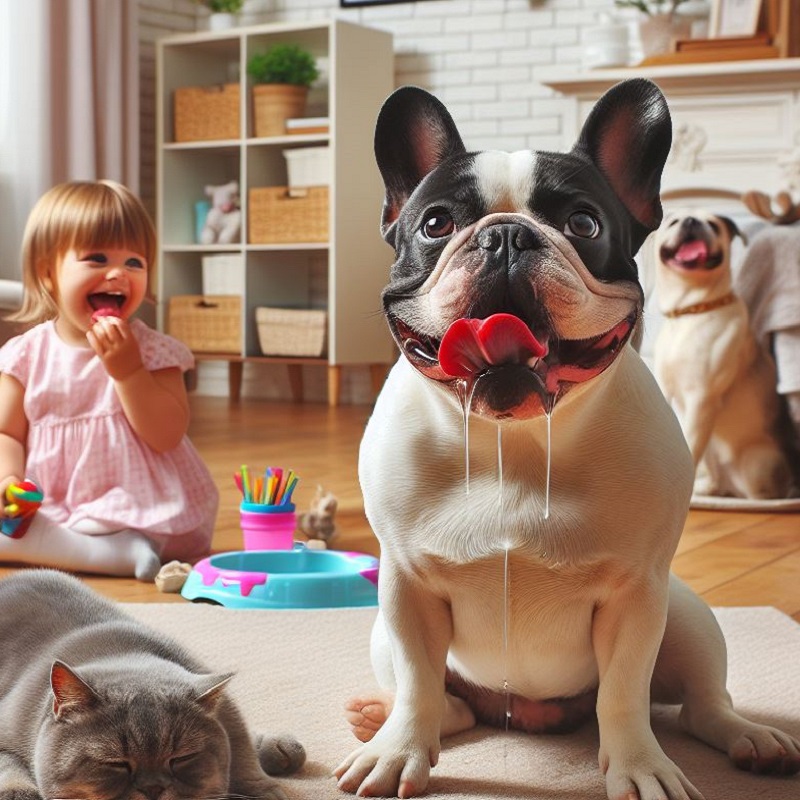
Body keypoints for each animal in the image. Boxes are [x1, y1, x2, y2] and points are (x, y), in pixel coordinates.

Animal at [0, 568, 306, 800]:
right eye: (116, 764)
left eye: (181, 758)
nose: (153, 788)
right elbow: (8, 764)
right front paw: (18, 792)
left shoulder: (224, 705)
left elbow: (241, 753)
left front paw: (261, 789)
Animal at [656, 209, 792, 496]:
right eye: (673, 222)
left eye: (713, 225)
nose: (691, 222)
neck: (691, 310)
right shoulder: (667, 391)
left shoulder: (702, 398)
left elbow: (689, 448)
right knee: (715, 477)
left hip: (756, 462)